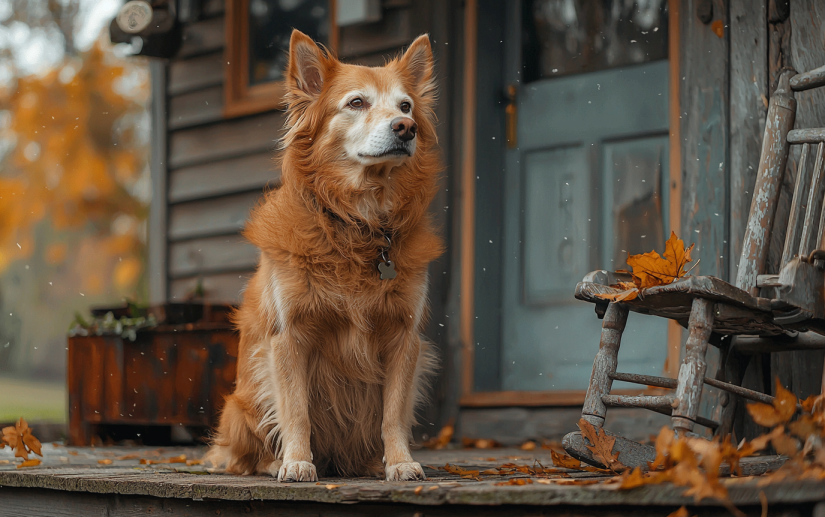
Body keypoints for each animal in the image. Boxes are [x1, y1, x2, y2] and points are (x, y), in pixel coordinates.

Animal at [208, 30, 444, 482]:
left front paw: (399, 462)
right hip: (239, 404)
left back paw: (369, 462)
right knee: (244, 454)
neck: (359, 224)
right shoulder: (289, 338)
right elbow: (296, 409)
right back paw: (273, 462)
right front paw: (297, 461)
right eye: (357, 103)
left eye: (406, 106)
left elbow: (393, 414)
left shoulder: (405, 338)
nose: (405, 128)